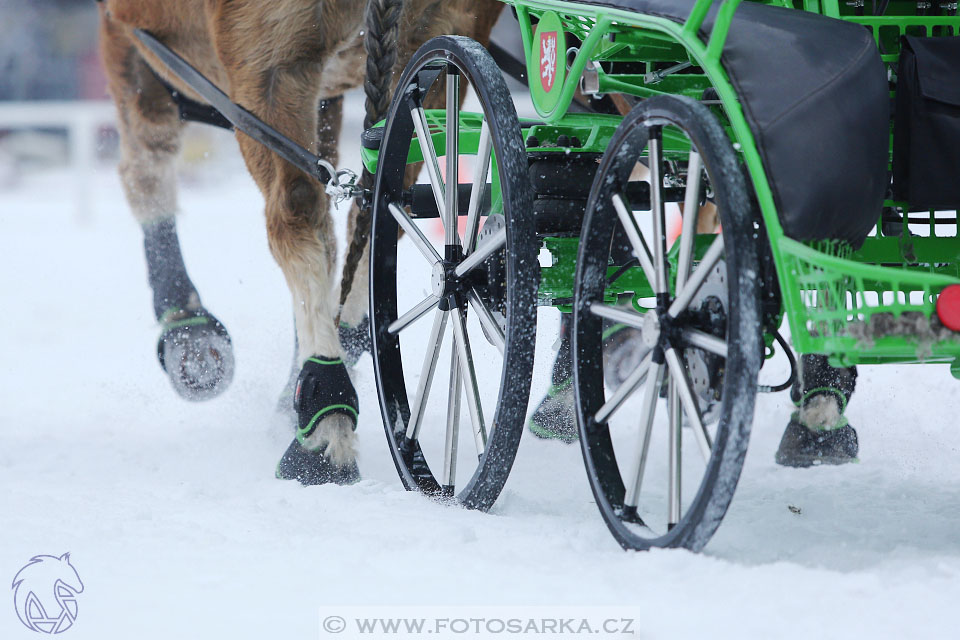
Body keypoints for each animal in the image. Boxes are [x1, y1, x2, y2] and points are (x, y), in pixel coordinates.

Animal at [95, 0, 502, 482]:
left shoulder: (128, 39)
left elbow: (145, 177)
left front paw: (188, 334)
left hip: (269, 66)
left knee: (294, 216)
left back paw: (324, 411)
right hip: (426, 51)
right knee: (375, 209)